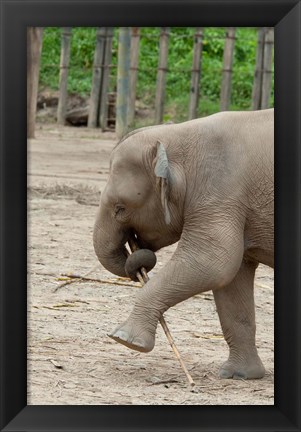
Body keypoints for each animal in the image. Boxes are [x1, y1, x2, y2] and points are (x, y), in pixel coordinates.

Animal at [93, 109, 272, 380]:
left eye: (120, 208)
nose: (136, 258)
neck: (177, 135)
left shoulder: (219, 193)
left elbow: (213, 262)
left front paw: (125, 339)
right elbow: (232, 279)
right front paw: (238, 375)